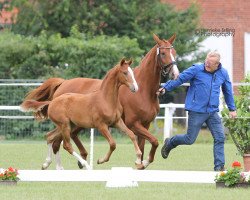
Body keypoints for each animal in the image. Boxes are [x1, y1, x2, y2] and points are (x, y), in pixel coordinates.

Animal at [21, 34, 178, 169]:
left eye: (174, 53)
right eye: (163, 53)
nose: (175, 74)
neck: (144, 91)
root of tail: (62, 83)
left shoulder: (145, 124)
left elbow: (145, 146)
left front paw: (141, 163)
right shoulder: (133, 124)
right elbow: (154, 141)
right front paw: (143, 162)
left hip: (74, 124)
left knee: (63, 138)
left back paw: (77, 160)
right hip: (66, 124)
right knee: (58, 143)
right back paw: (65, 165)